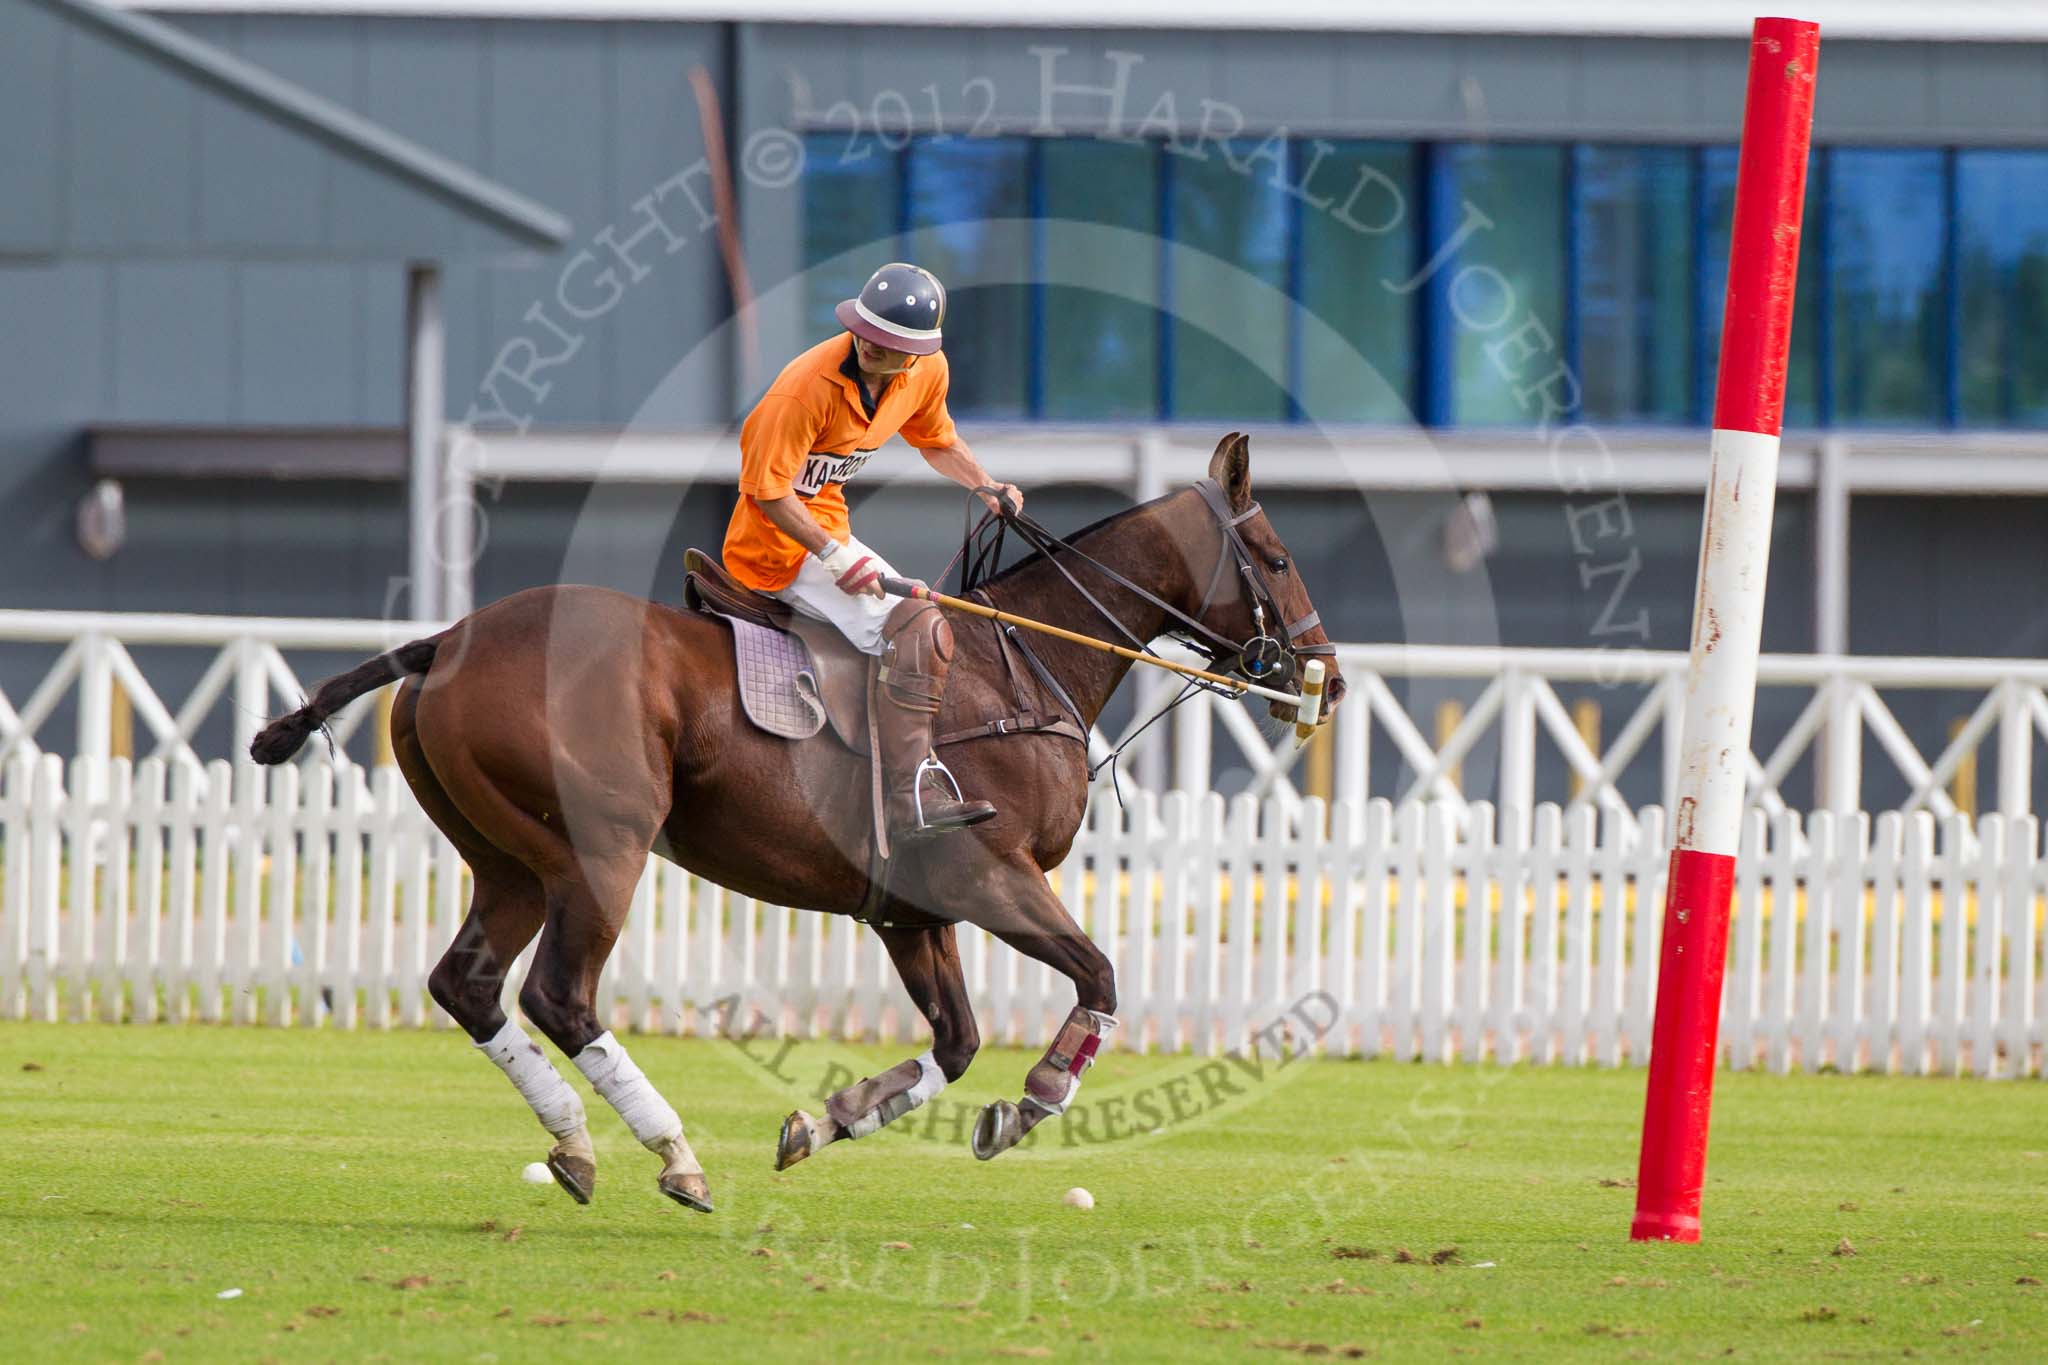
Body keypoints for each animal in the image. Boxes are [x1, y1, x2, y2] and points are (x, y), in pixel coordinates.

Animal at [247, 431, 1343, 1211]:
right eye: (1278, 556)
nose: (1324, 680)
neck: (1022, 668)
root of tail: (445, 639)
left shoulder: (912, 911)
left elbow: (955, 1043)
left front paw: (828, 1121)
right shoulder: (991, 876)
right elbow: (1098, 976)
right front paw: (1031, 1102)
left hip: (512, 859)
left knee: (466, 985)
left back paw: (576, 1143)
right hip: (602, 850)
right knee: (559, 996)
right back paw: (674, 1155)